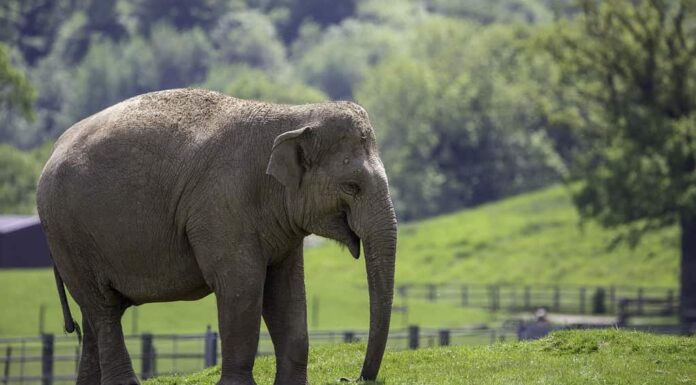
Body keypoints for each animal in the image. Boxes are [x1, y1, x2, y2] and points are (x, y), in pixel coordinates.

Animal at [38, 88, 396, 384]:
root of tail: (52, 150)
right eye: (352, 186)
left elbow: (287, 293)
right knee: (103, 308)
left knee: (92, 316)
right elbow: (242, 286)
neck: (294, 115)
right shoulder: (223, 205)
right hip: (68, 234)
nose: (354, 377)